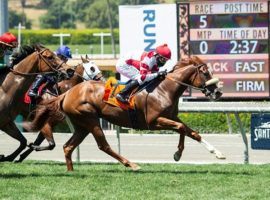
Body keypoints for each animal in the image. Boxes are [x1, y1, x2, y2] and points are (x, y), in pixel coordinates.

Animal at [25, 55, 224, 170]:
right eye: (205, 73)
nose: (217, 93)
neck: (164, 89)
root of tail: (67, 92)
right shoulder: (154, 121)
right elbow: (182, 128)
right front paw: (178, 154)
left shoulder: (171, 117)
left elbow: (192, 132)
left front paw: (217, 153)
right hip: (90, 119)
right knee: (103, 146)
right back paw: (132, 164)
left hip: (82, 124)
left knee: (68, 147)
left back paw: (71, 171)